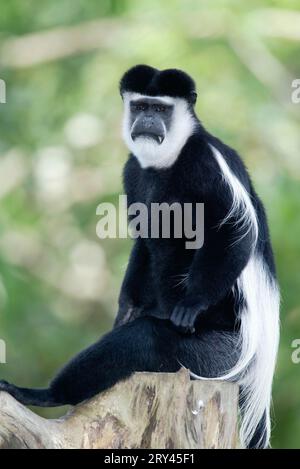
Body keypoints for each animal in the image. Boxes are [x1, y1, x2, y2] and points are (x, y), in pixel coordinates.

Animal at [1, 66, 280, 450]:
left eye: (161, 109)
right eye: (141, 106)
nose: (147, 120)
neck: (165, 161)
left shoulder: (205, 163)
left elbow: (234, 230)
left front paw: (191, 304)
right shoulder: (133, 171)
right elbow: (144, 241)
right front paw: (125, 310)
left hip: (221, 355)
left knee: (147, 339)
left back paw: (45, 394)